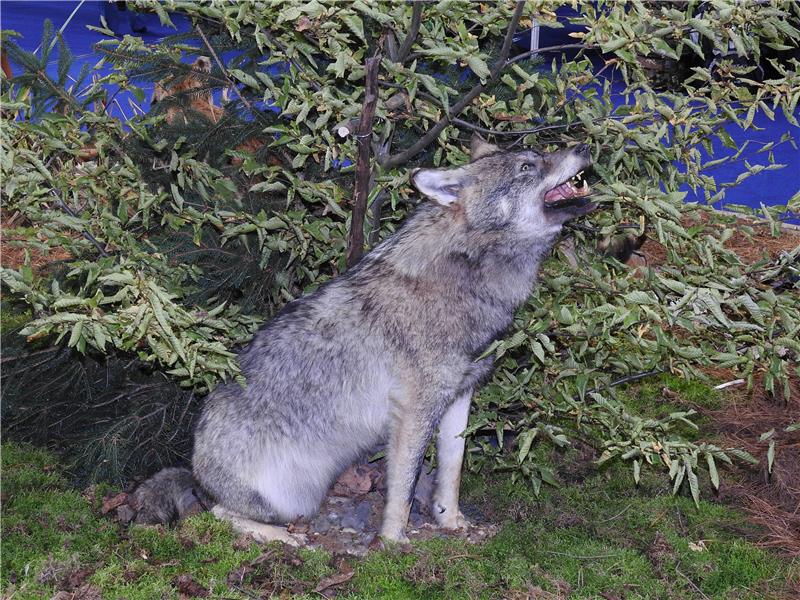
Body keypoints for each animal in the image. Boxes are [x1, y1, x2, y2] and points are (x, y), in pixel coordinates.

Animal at [131, 135, 592, 544]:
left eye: (543, 153)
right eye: (527, 166)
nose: (584, 146)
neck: (468, 275)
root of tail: (195, 469)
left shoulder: (460, 397)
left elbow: (452, 473)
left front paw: (451, 523)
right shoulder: (413, 410)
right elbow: (403, 489)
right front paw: (392, 543)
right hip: (290, 501)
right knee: (214, 515)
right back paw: (281, 539)